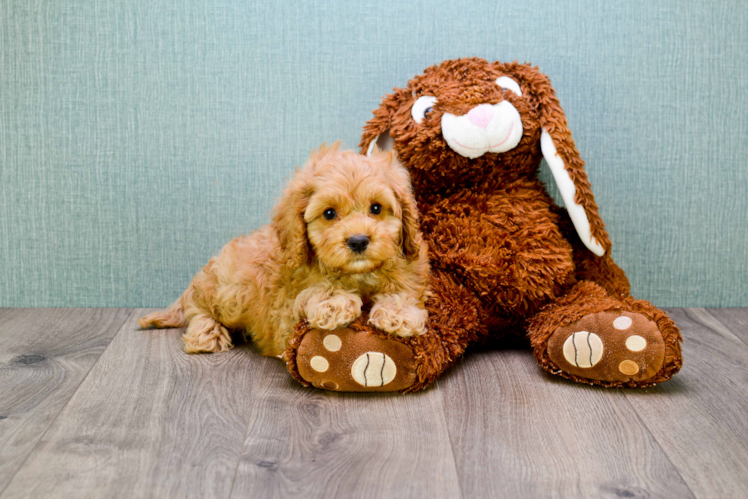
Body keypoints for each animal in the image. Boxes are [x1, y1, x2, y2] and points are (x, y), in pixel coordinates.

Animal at [137, 143, 430, 358]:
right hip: (229, 290)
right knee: (197, 307)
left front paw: (399, 312)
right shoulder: (283, 315)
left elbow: (404, 291)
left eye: (376, 208)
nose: (358, 241)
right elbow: (310, 294)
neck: (358, 275)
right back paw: (207, 332)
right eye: (329, 213)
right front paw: (333, 301)